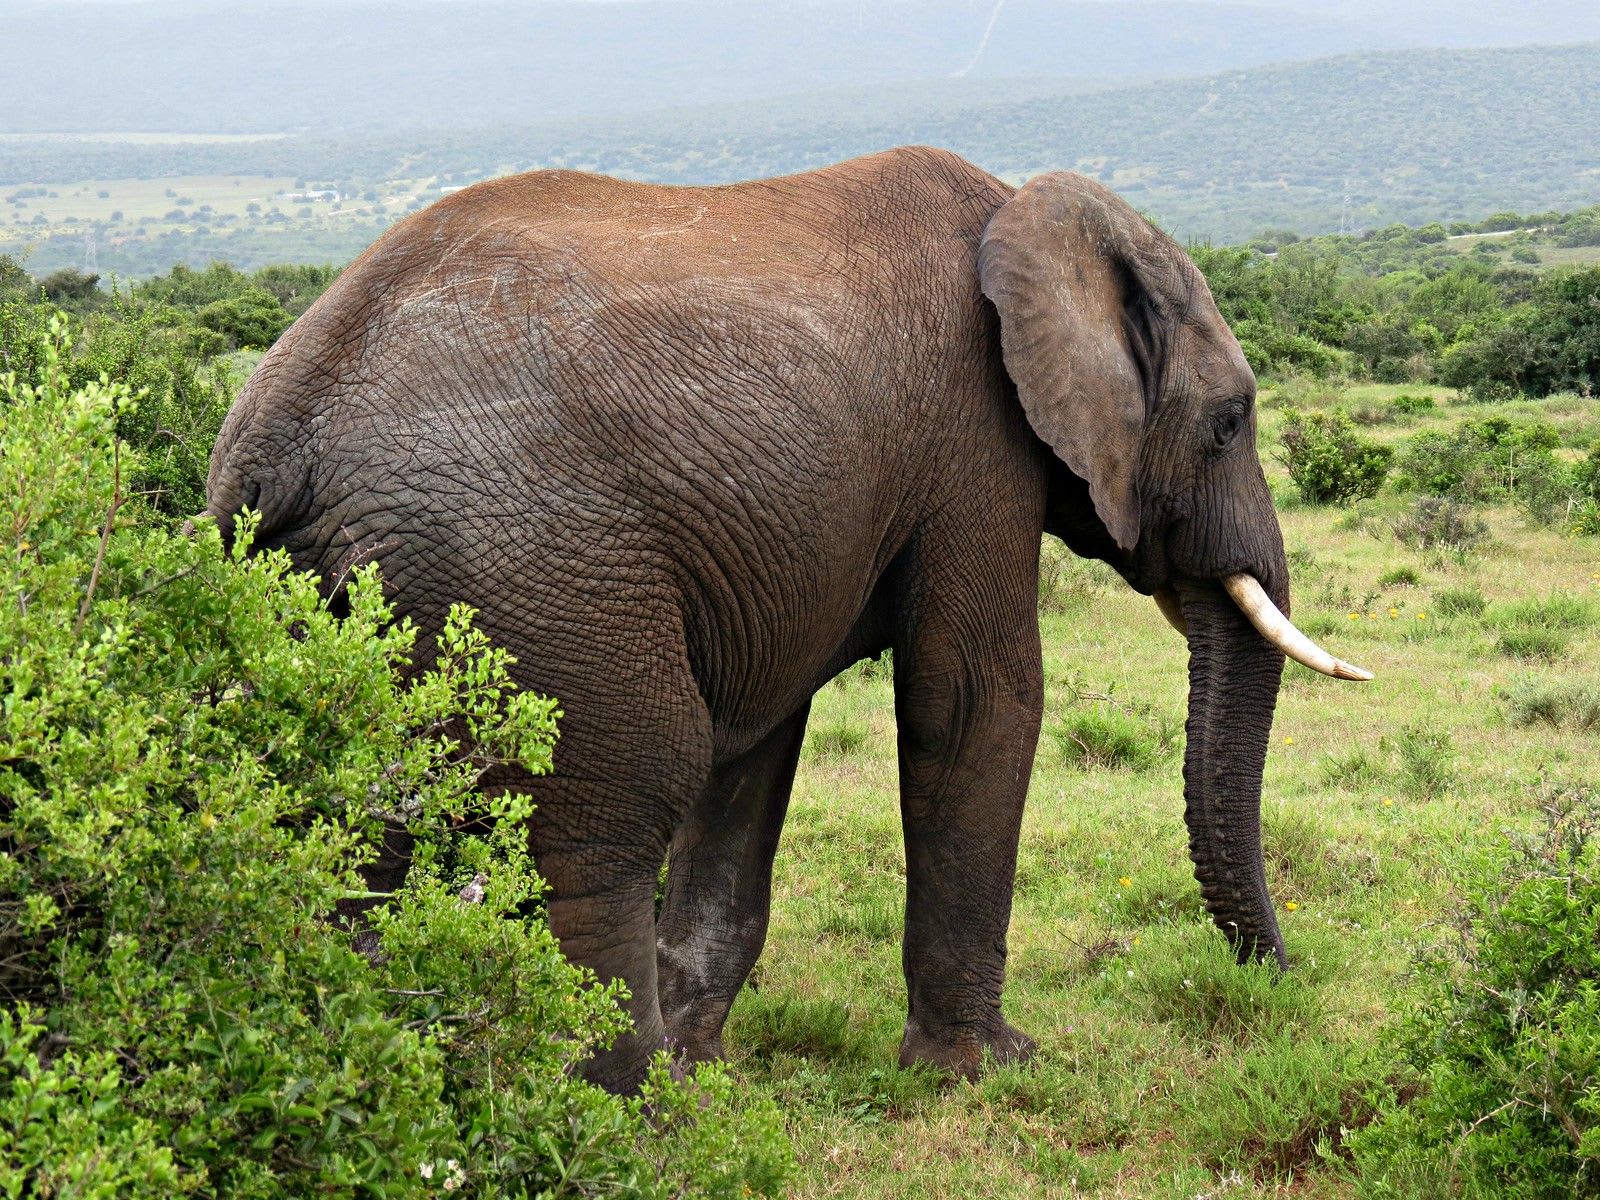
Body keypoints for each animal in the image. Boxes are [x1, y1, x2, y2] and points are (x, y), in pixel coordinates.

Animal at [206, 146, 1370, 1092]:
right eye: (1230, 423)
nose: (1278, 980)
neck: (1025, 214)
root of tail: (274, 442)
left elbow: (759, 742)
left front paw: (708, 1057)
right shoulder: (973, 443)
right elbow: (973, 700)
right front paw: (987, 1069)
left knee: (354, 840)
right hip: (524, 574)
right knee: (613, 803)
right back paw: (629, 1112)